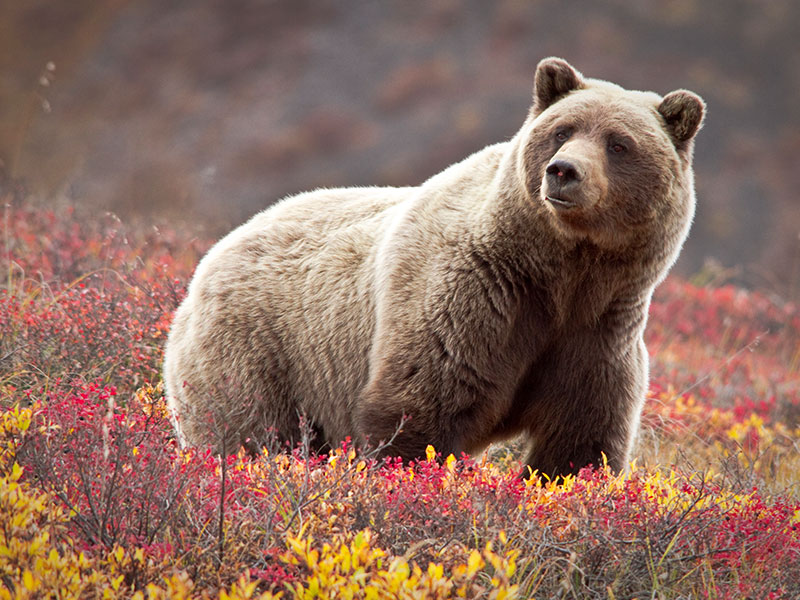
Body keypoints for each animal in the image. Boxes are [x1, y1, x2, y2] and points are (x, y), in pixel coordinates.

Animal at [164, 57, 708, 478]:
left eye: (618, 143)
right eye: (562, 130)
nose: (564, 171)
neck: (561, 274)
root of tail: (210, 258)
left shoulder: (598, 334)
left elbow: (580, 443)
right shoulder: (473, 298)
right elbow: (419, 412)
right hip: (259, 352)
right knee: (248, 433)